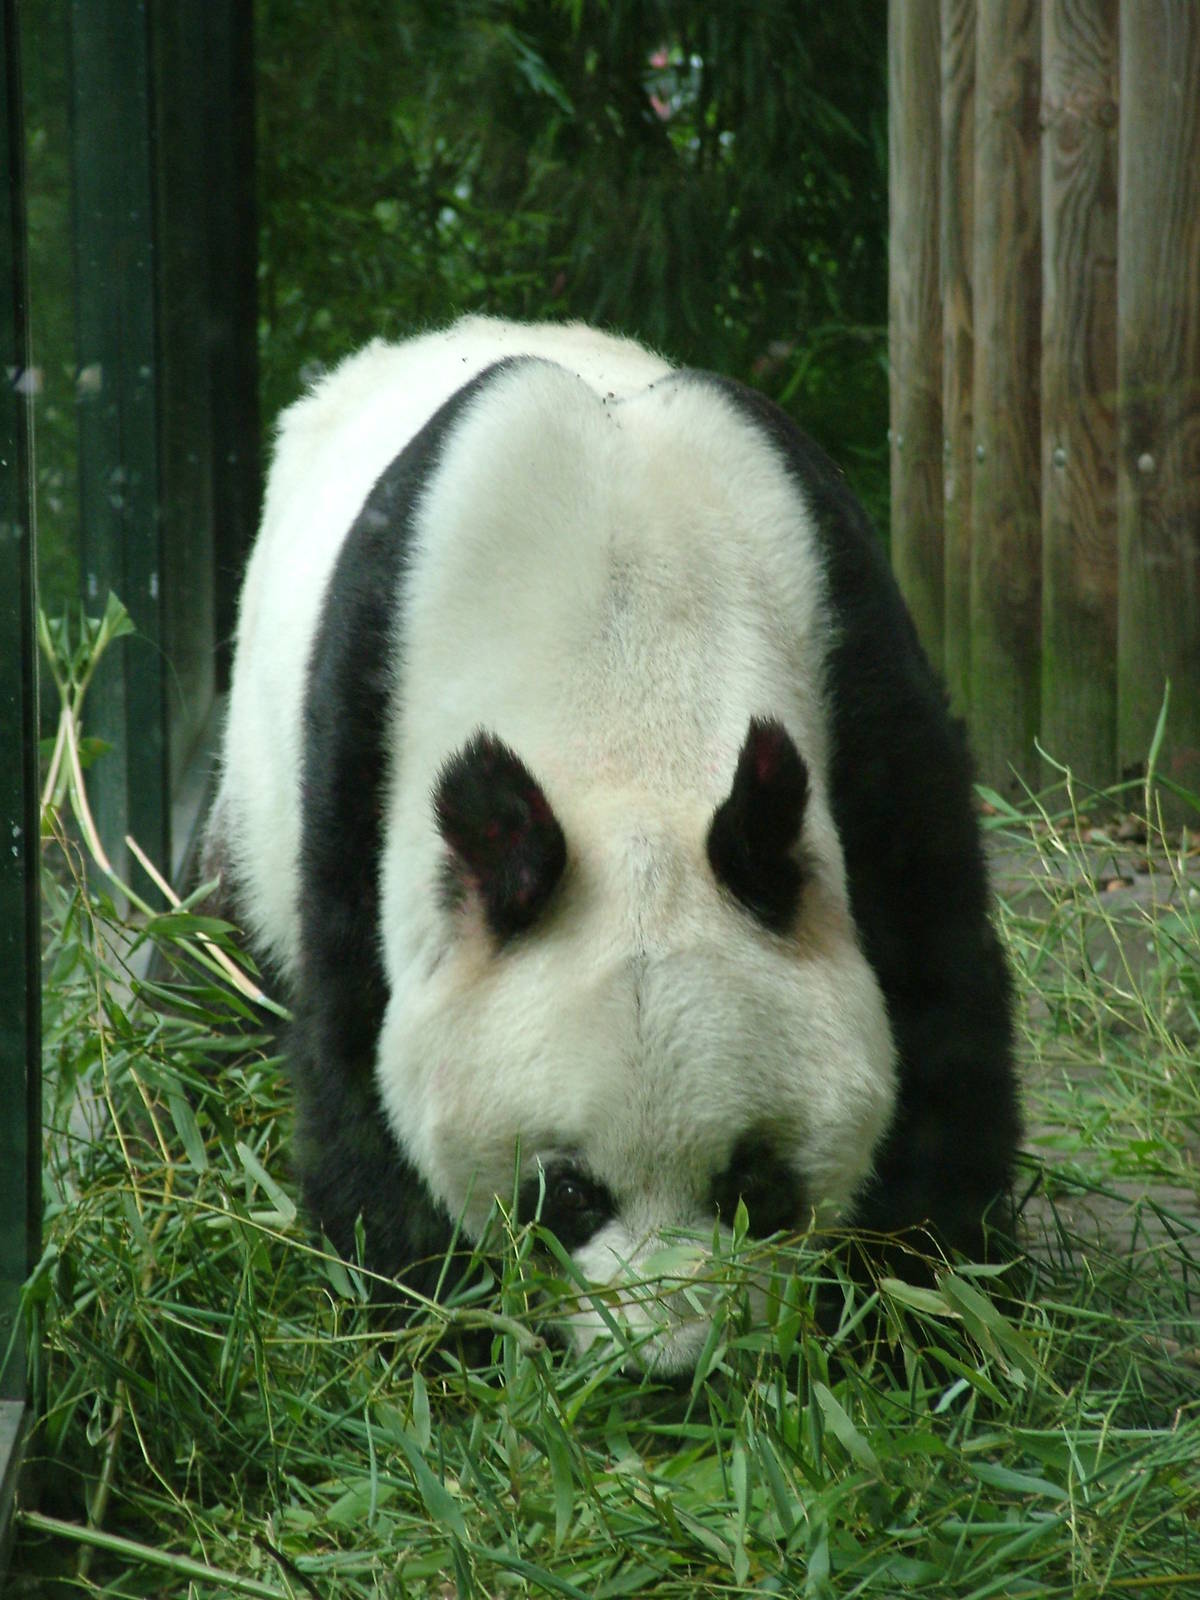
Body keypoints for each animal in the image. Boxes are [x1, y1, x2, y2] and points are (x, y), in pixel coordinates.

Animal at [206, 316, 1019, 1372]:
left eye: (753, 1182)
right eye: (567, 1195)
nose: (670, 1363)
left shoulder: (856, 660)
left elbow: (940, 1004)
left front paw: (923, 1315)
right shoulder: (362, 743)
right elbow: (355, 1051)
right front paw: (439, 1333)